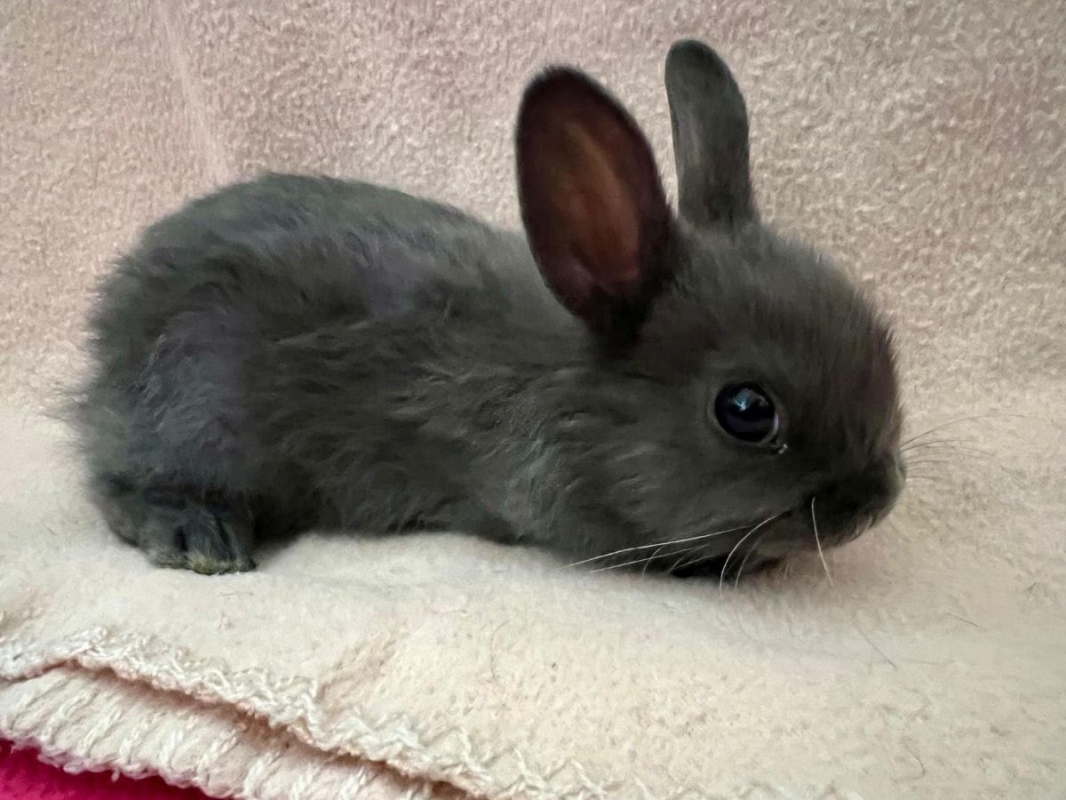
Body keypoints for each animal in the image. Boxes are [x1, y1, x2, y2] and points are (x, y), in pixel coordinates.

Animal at [74, 39, 904, 578]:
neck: (575, 395)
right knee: (116, 483)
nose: (877, 498)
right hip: (197, 417)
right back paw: (196, 535)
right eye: (746, 411)